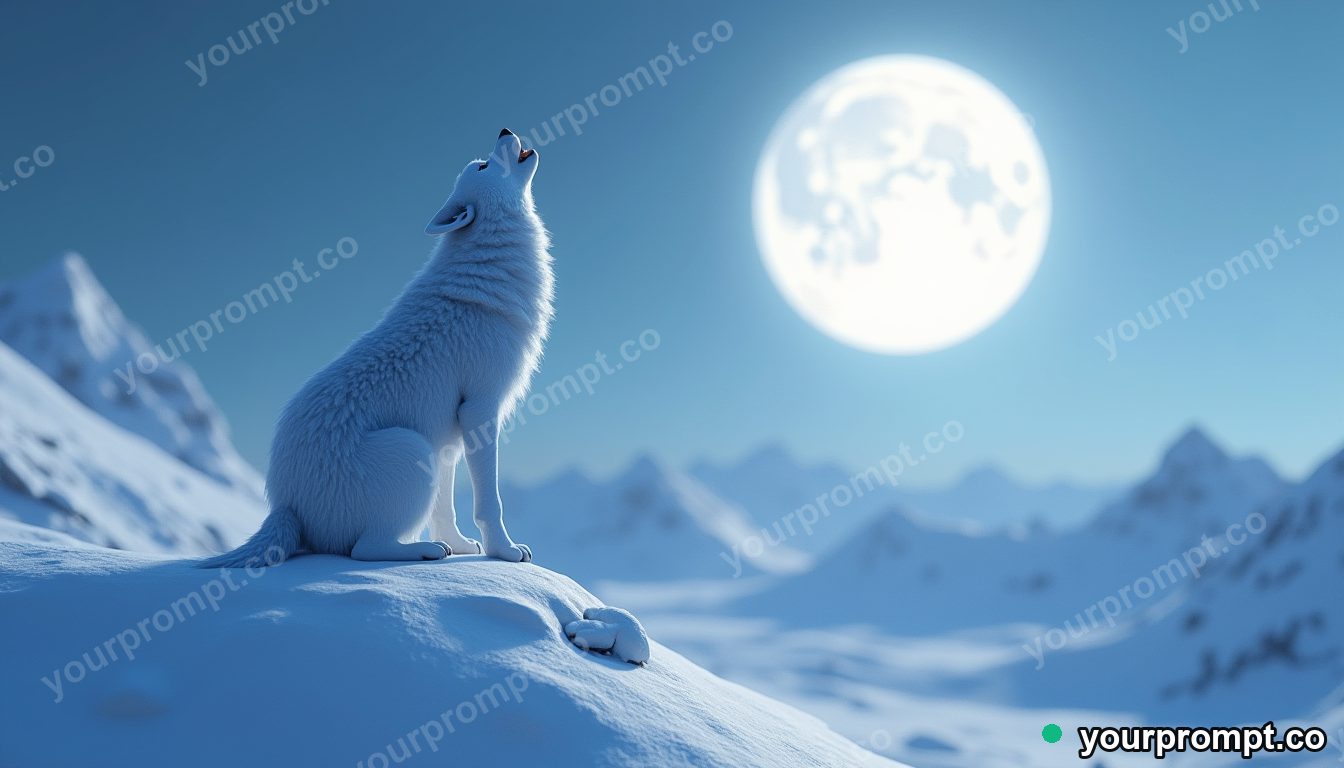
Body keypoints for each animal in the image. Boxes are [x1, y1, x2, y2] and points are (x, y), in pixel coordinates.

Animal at [201, 129, 552, 568]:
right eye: (483, 166)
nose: (505, 131)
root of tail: (288, 506)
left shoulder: (450, 436)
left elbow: (445, 509)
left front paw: (460, 546)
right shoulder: (480, 409)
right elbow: (489, 503)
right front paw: (503, 552)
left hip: (425, 450)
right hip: (411, 449)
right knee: (364, 549)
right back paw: (422, 551)